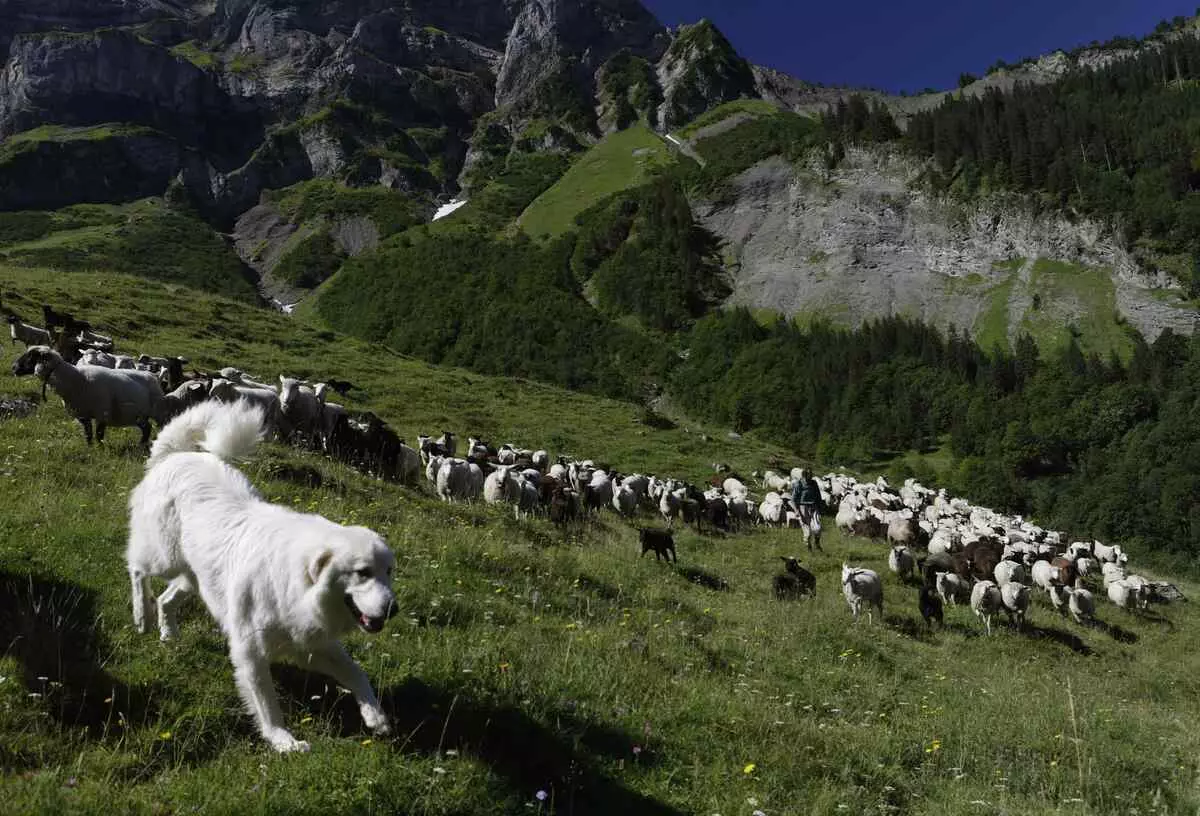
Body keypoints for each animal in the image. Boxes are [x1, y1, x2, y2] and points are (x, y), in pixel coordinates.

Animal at [11, 343, 162, 446]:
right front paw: (89, 448)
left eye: (31, 356)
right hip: (139, 415)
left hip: (156, 412)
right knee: (147, 428)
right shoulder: (83, 414)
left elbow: (99, 435)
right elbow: (88, 434)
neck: (75, 379)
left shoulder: (103, 413)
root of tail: (151, 375)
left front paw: (100, 449)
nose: (13, 367)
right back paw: (141, 444)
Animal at [127, 400, 398, 753]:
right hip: (165, 558)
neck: (296, 580)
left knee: (166, 598)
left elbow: (356, 673)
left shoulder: (313, 643)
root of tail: (176, 455)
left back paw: (168, 634)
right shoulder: (251, 650)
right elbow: (267, 704)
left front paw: (375, 716)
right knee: (136, 567)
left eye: (389, 572)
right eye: (363, 573)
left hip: (195, 577)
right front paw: (283, 741)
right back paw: (141, 615)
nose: (393, 609)